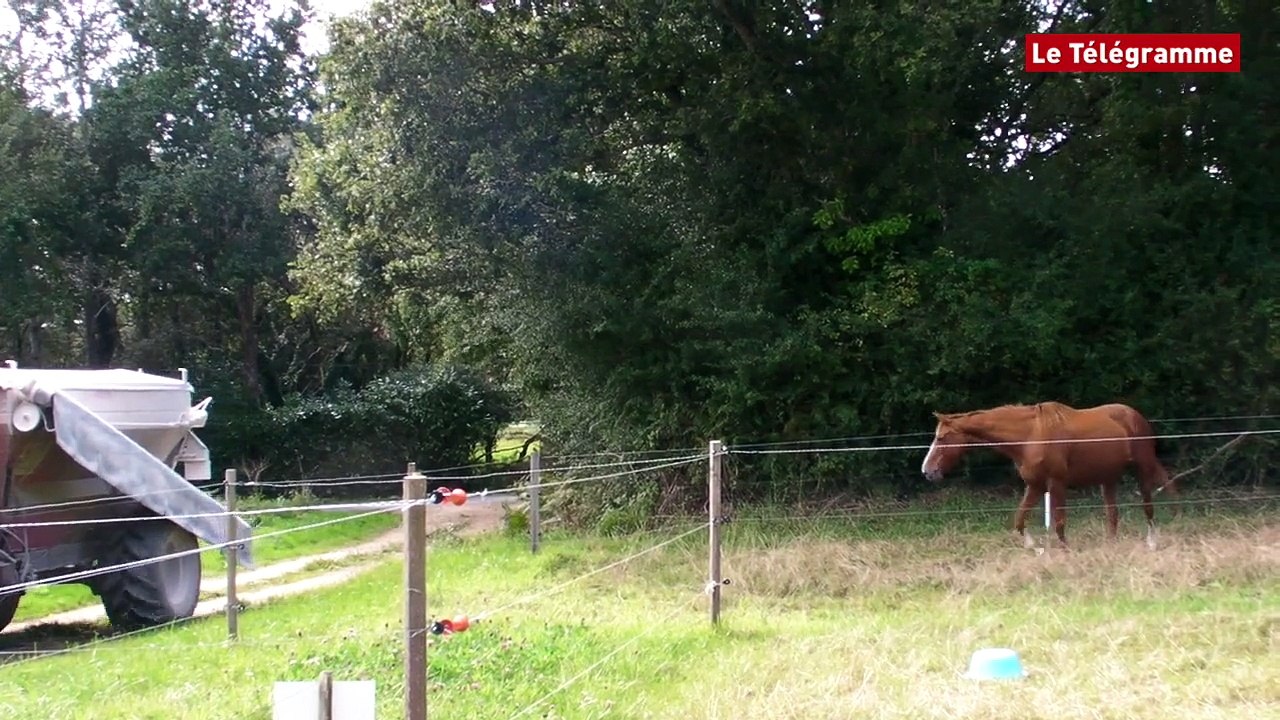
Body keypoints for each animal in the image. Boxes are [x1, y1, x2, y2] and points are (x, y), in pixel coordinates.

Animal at [919, 401, 1178, 550]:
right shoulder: (1035, 486)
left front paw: (1066, 552)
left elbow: (1059, 524)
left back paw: (1153, 541)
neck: (1029, 436)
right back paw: (1111, 546)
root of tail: (1134, 415)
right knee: (1113, 515)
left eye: (941, 438)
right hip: (1108, 478)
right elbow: (1019, 521)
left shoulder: (1056, 484)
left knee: (1151, 503)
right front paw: (1035, 548)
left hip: (1143, 467)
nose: (927, 471)